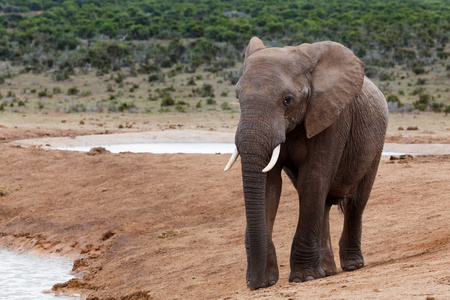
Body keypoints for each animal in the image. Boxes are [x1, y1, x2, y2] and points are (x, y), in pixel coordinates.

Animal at [227, 36, 388, 290]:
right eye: (237, 97)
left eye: (287, 100)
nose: (253, 284)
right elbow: (270, 187)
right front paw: (268, 280)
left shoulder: (332, 117)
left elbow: (313, 180)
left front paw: (304, 278)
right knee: (324, 205)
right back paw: (328, 271)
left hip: (376, 144)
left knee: (356, 203)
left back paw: (352, 265)